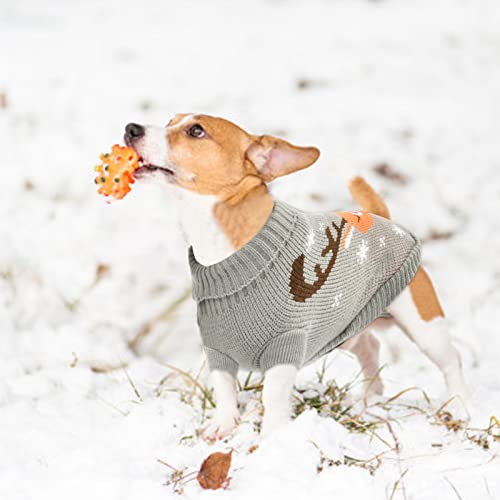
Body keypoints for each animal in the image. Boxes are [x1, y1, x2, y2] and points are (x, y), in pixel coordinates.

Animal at [123, 115, 466, 440]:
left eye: (196, 130)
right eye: (169, 121)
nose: (131, 129)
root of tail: (383, 217)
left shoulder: (286, 346)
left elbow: (273, 396)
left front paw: (272, 436)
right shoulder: (217, 349)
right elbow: (223, 389)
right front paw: (223, 424)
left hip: (424, 325)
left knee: (451, 362)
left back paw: (458, 406)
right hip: (345, 329)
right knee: (370, 347)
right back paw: (372, 398)